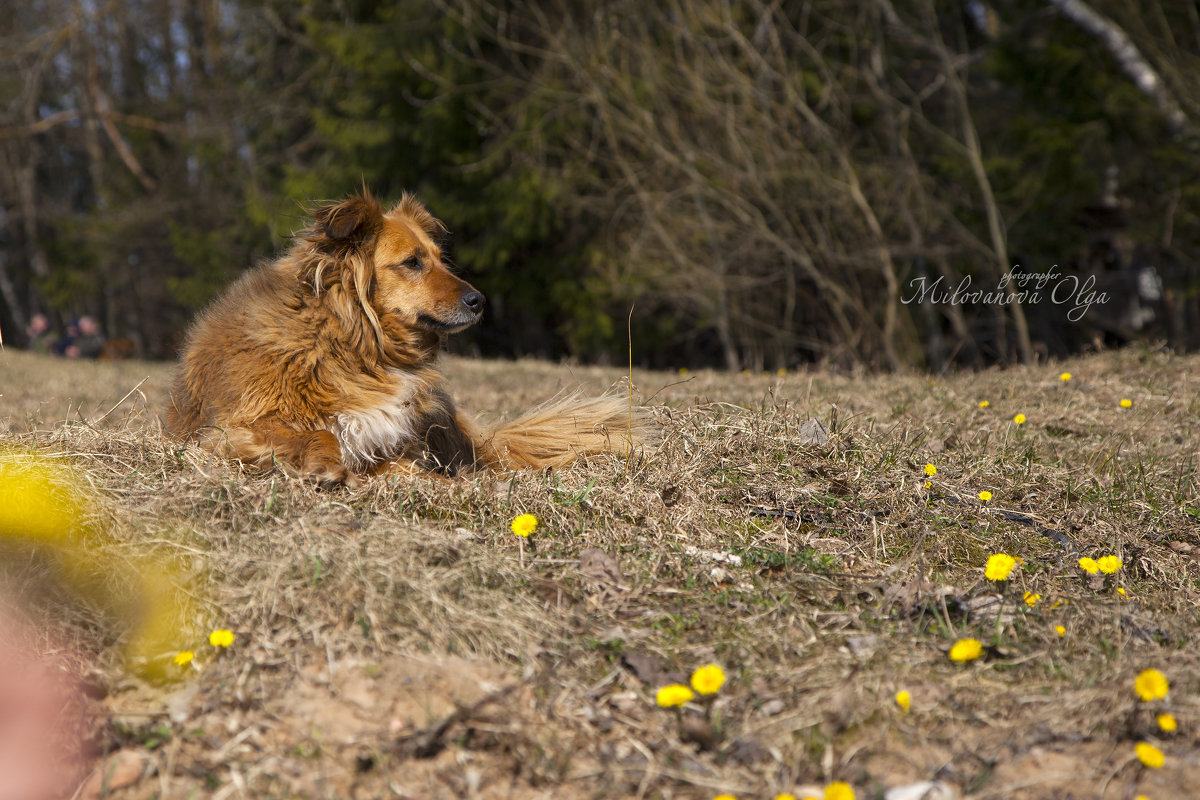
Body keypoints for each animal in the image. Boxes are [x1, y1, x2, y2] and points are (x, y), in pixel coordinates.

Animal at [168, 190, 643, 484]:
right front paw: (322, 465)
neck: (350, 344)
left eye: (438, 258)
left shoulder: (390, 445)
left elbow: (410, 467)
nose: (480, 301)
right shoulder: (231, 431)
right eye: (413, 262)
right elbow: (319, 434)